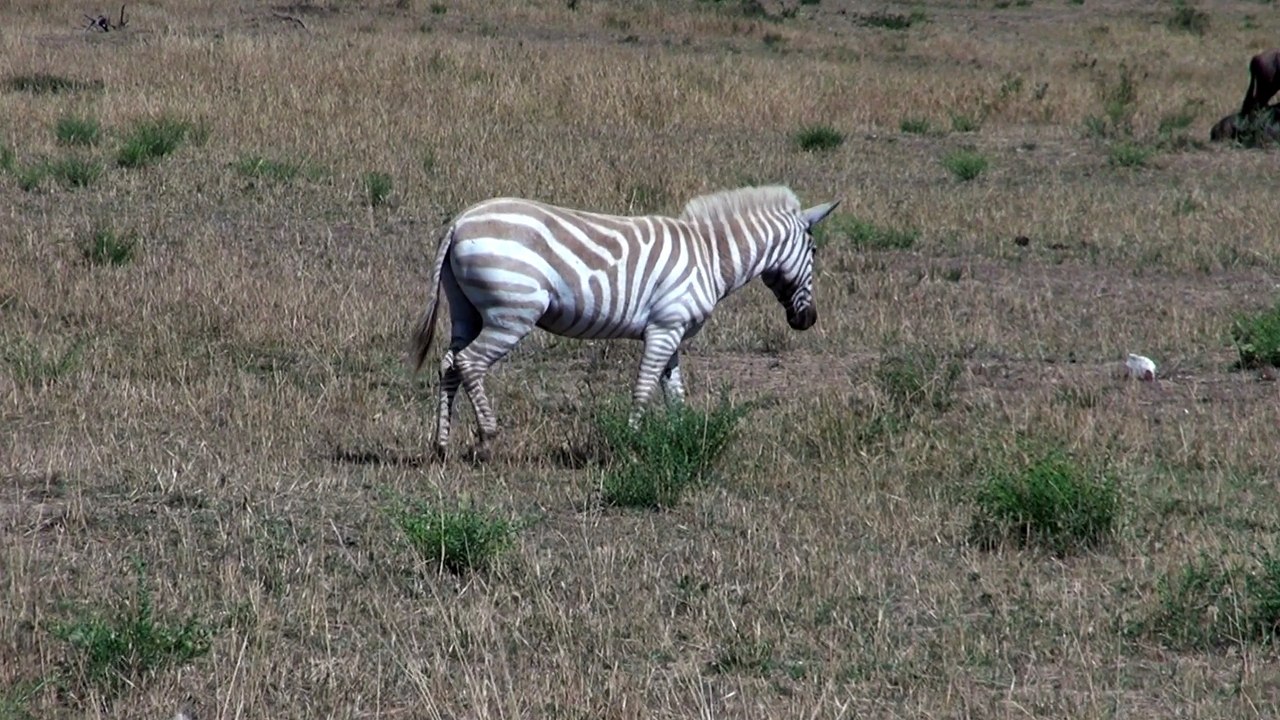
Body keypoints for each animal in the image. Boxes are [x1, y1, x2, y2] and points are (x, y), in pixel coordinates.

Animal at [408, 185, 840, 458]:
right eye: (815, 251)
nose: (808, 320)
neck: (711, 256)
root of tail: (460, 221)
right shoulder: (663, 329)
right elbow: (645, 388)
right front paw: (632, 444)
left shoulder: (673, 331)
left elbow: (674, 392)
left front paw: (681, 440)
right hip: (512, 312)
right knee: (469, 363)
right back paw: (486, 440)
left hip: (466, 310)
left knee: (449, 363)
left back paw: (442, 445)